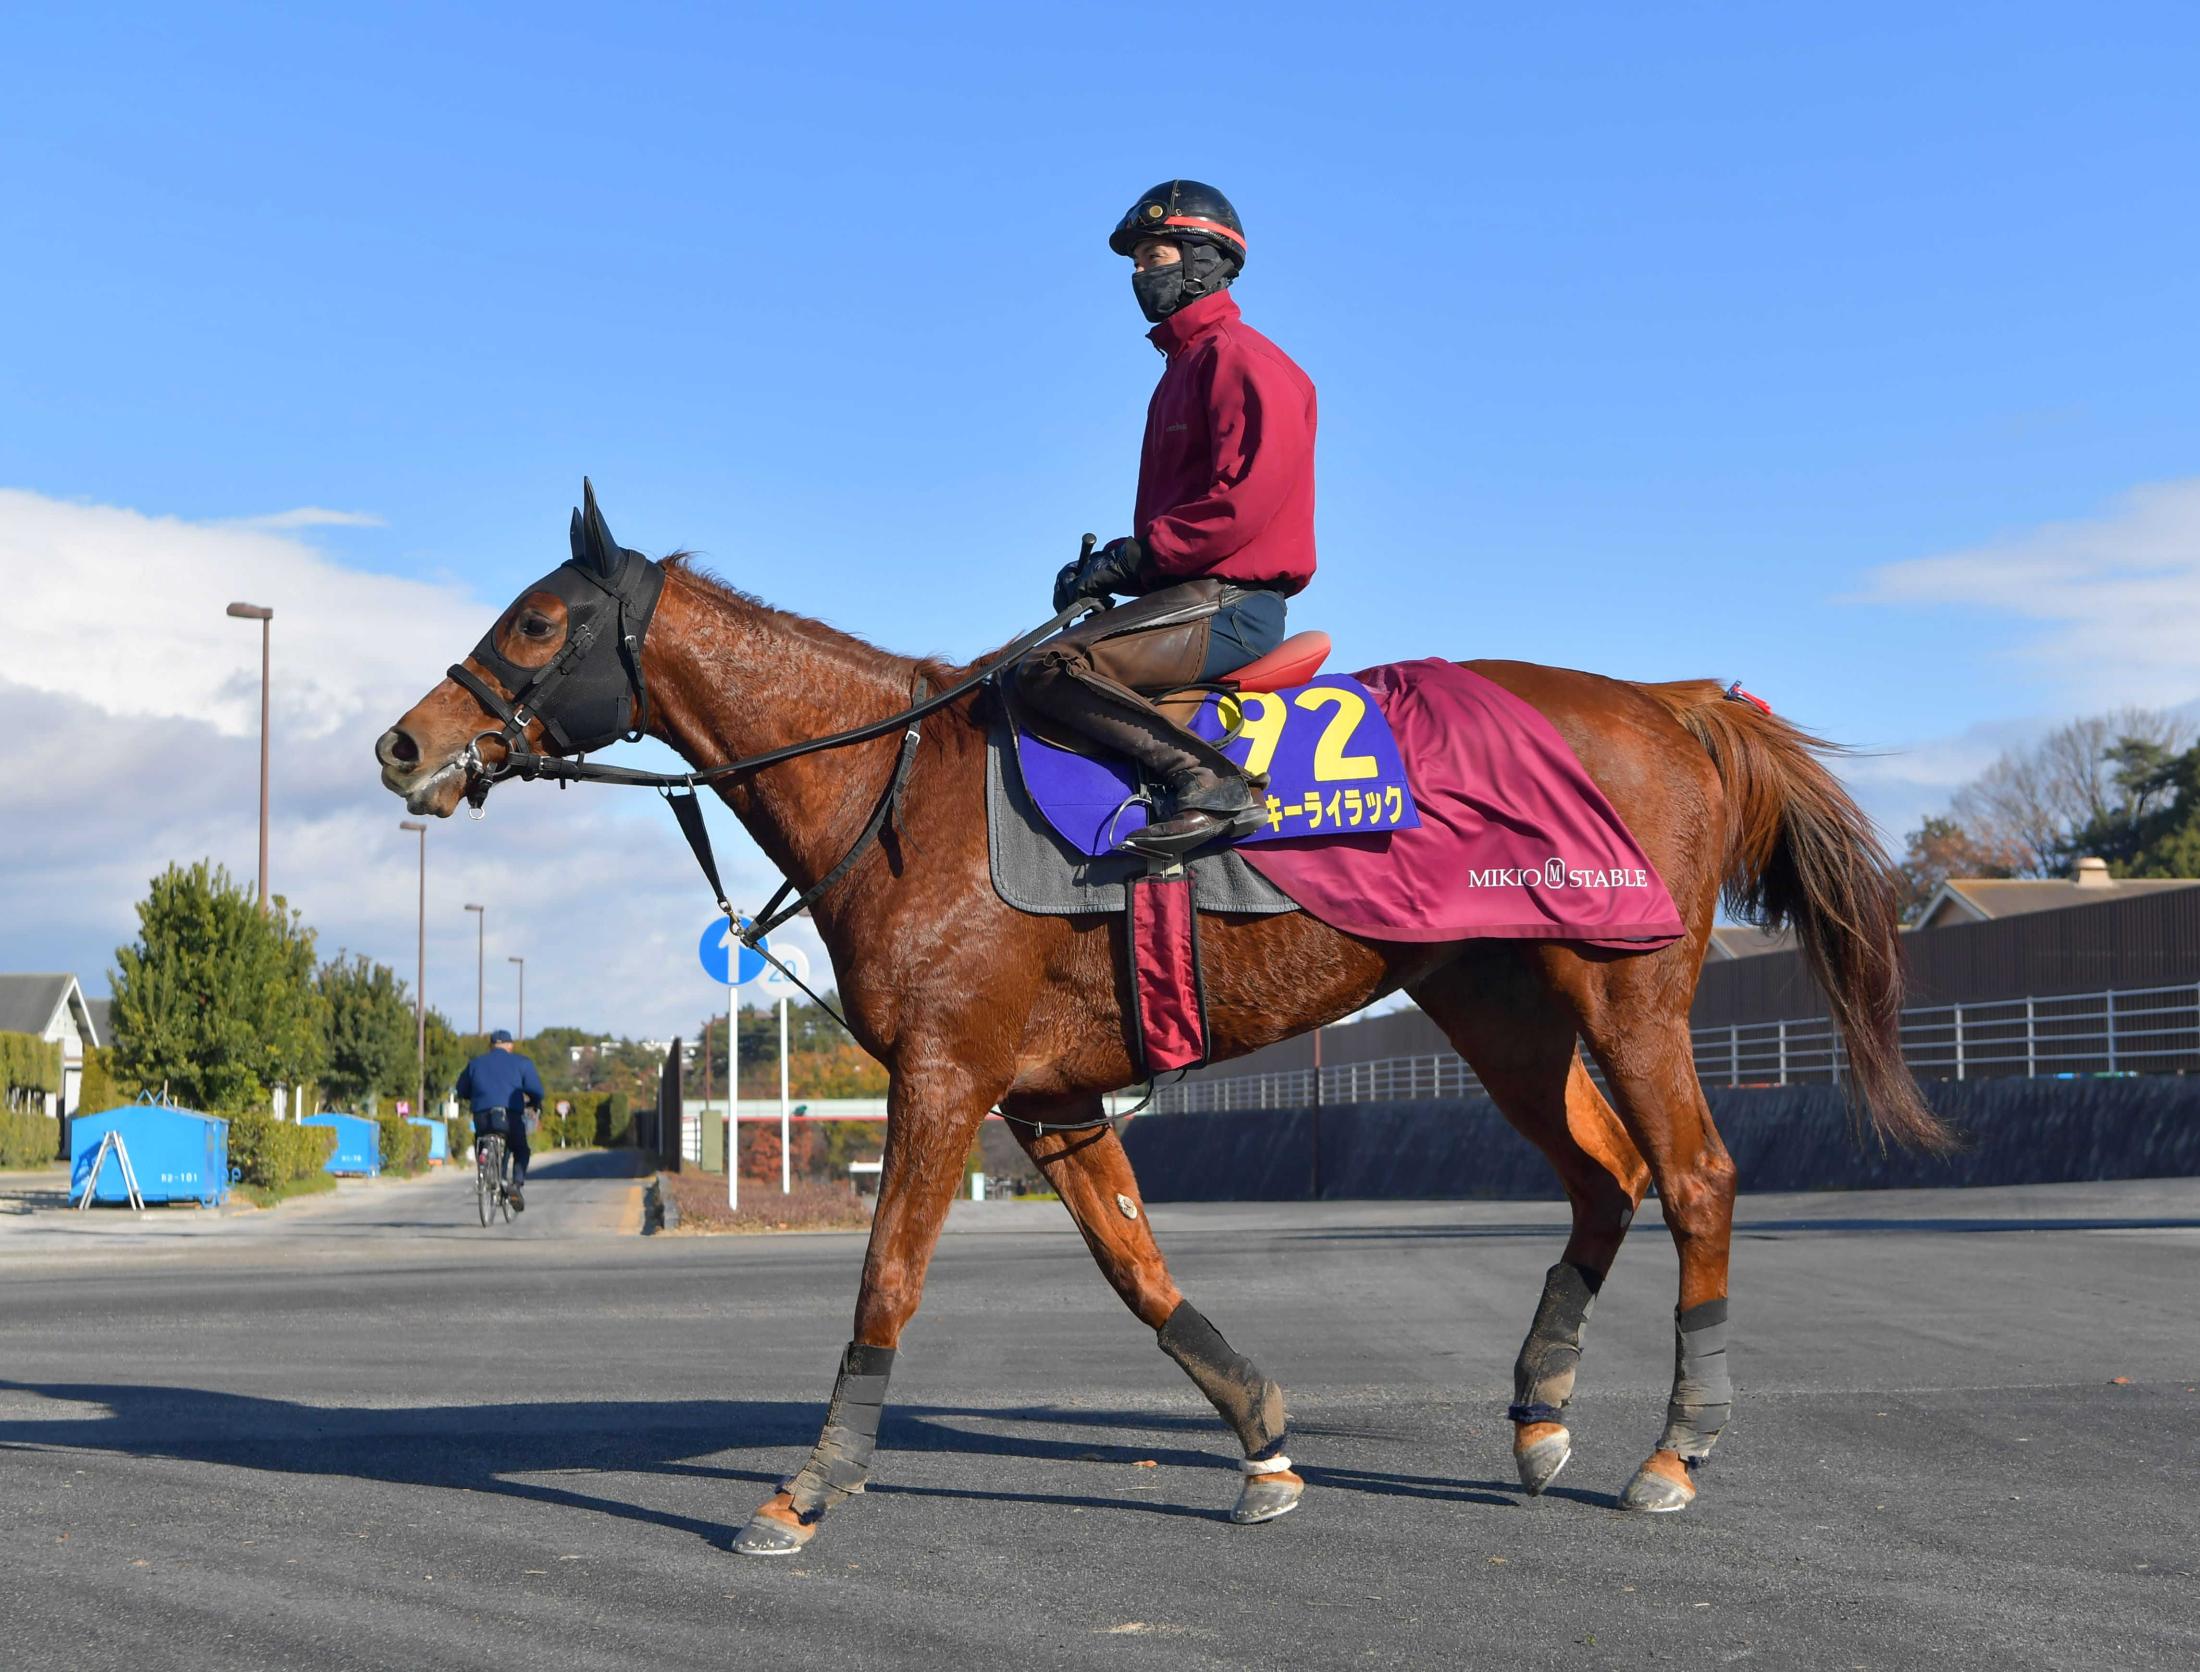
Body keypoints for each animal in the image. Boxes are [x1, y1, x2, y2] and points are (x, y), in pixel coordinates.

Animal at [374, 490, 1944, 1557]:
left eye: (536, 621)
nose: (401, 743)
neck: (895, 782)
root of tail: (1675, 704)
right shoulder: (1048, 1100)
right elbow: (1139, 1277)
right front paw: (1263, 1443)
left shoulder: (946, 1076)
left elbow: (886, 1279)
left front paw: (807, 1486)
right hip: (1497, 1007)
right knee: (1604, 1180)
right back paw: (1542, 1410)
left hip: (1625, 994)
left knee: (1695, 1178)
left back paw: (1677, 1449)